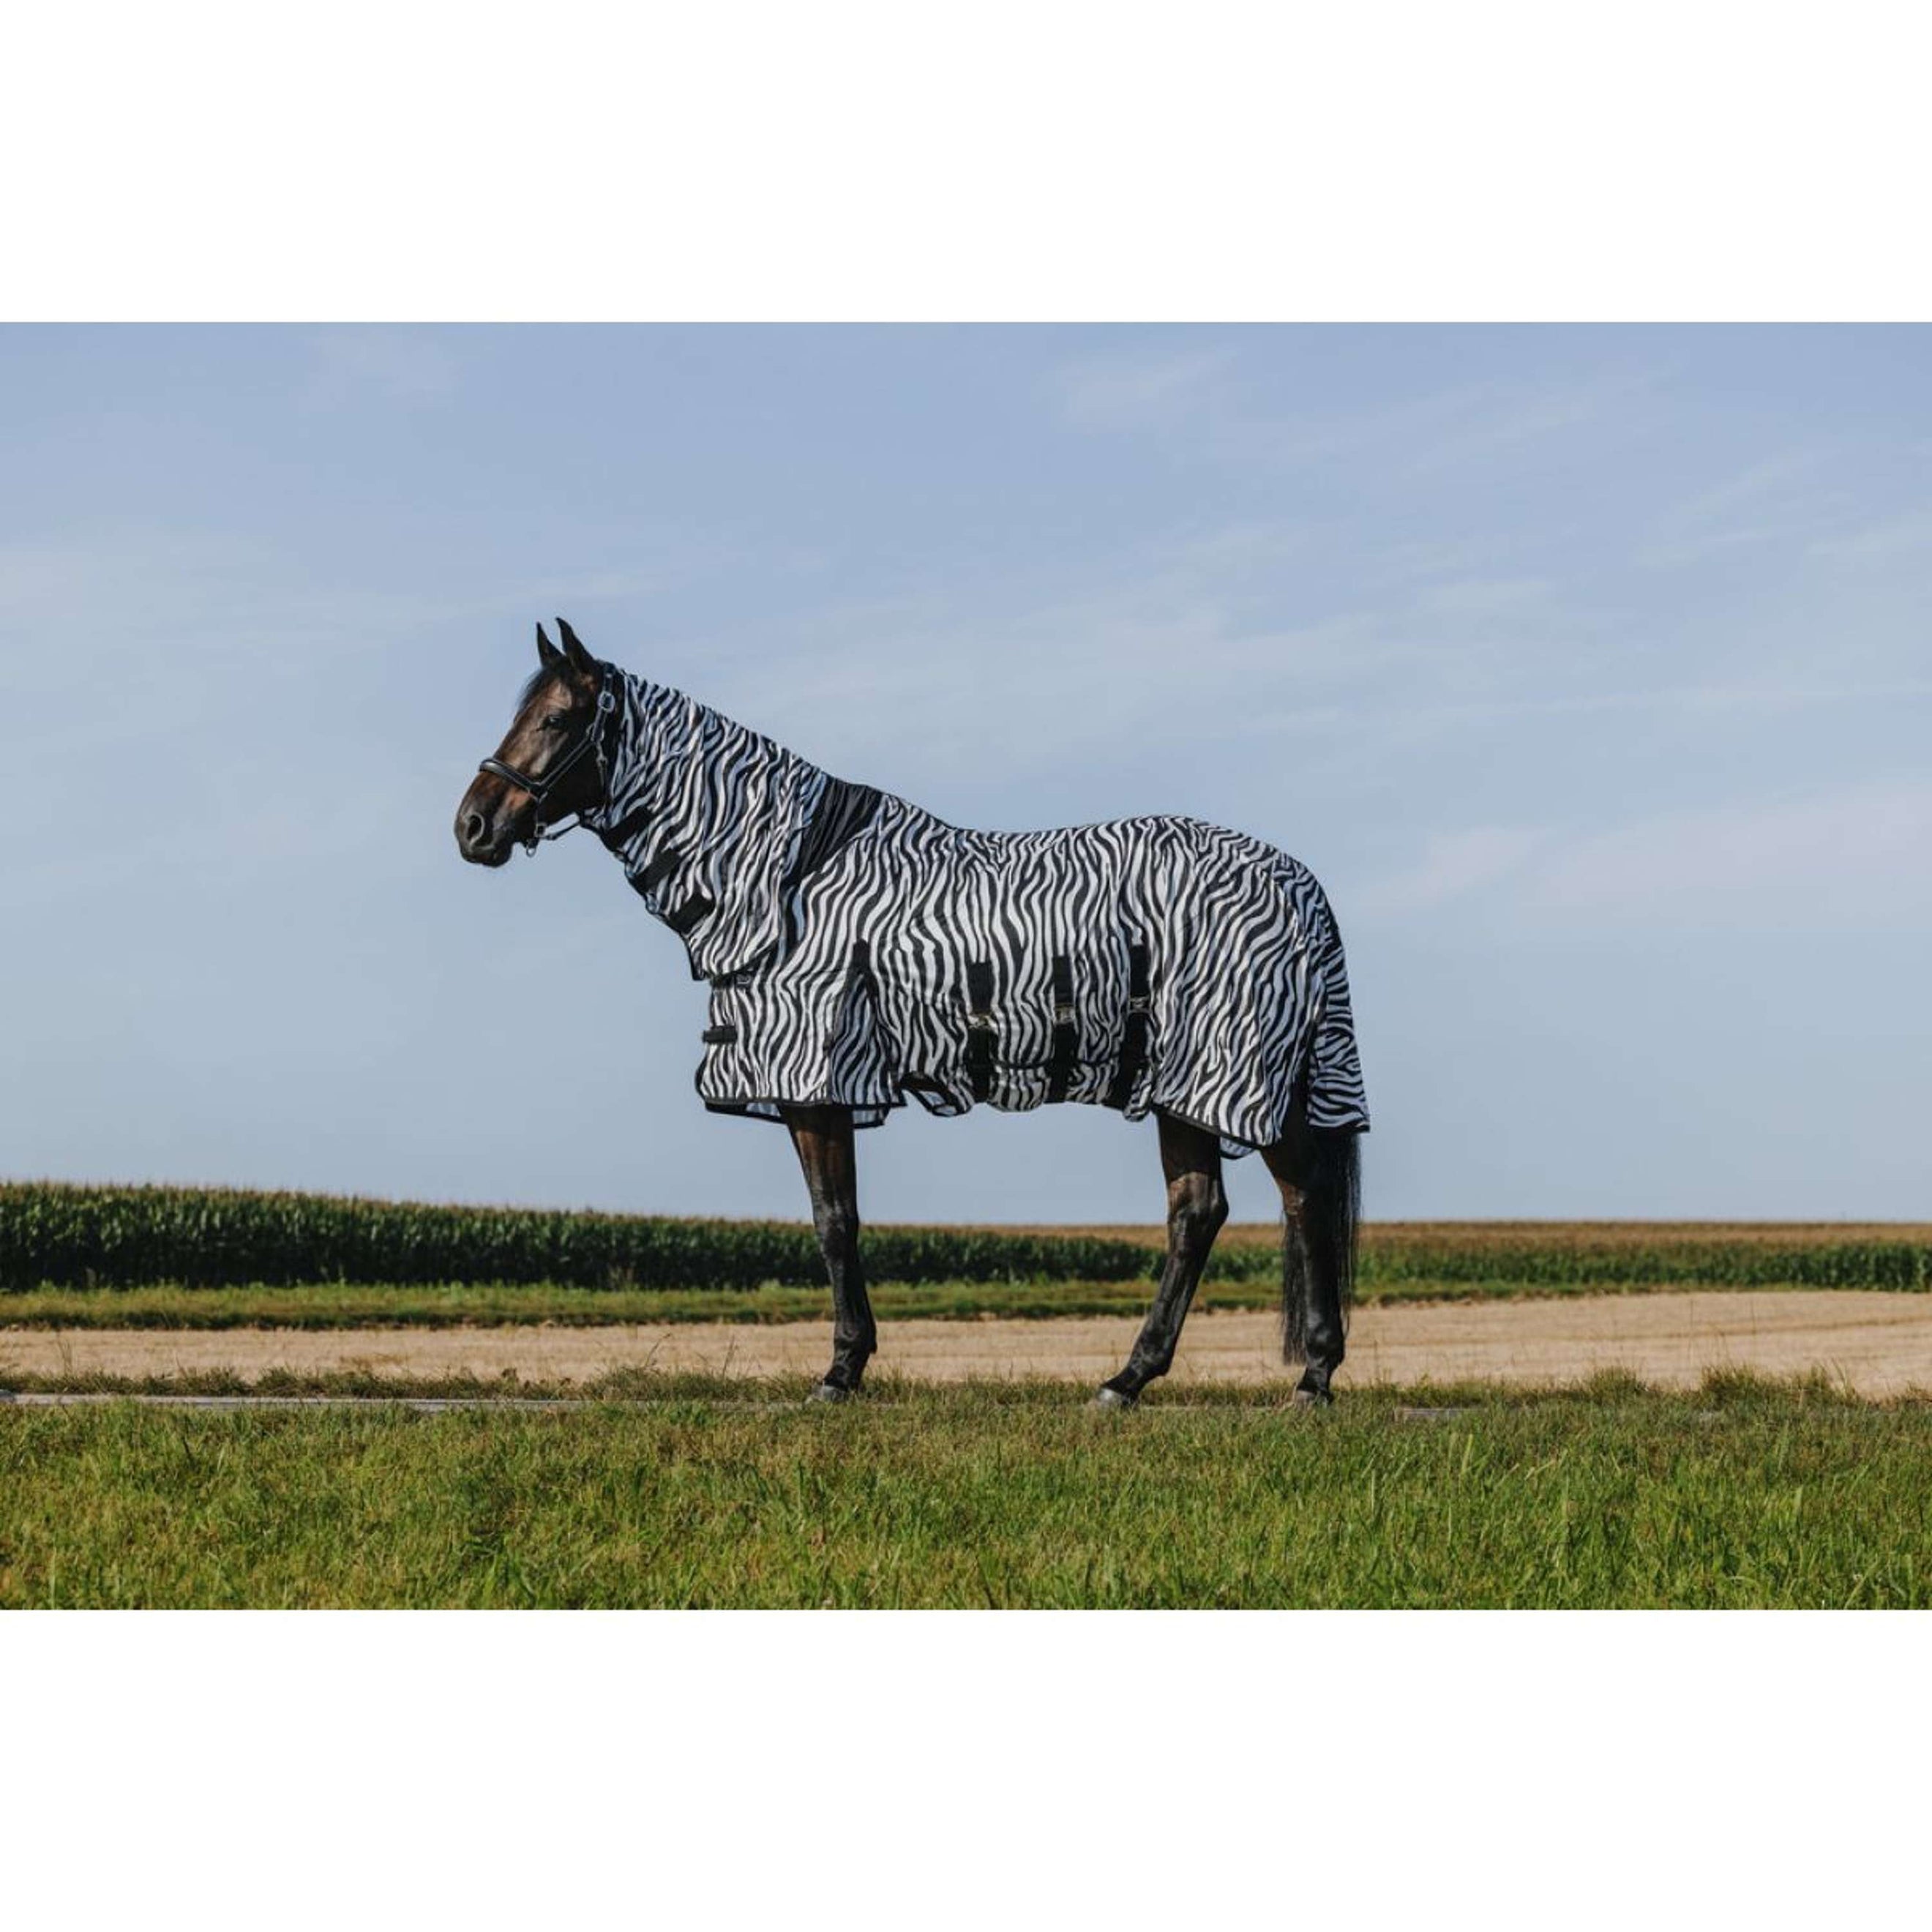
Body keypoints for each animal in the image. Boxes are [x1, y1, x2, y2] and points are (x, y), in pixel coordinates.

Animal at [456, 620, 1369, 1408]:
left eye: (556, 718)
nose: (473, 826)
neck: (788, 877)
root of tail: (1299, 882)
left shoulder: (818, 1081)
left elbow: (835, 1223)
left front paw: (840, 1372)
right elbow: (839, 1220)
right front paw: (849, 1364)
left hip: (1229, 1074)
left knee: (1297, 1201)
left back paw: (1307, 1378)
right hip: (1187, 1086)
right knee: (1201, 1213)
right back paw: (1133, 1379)